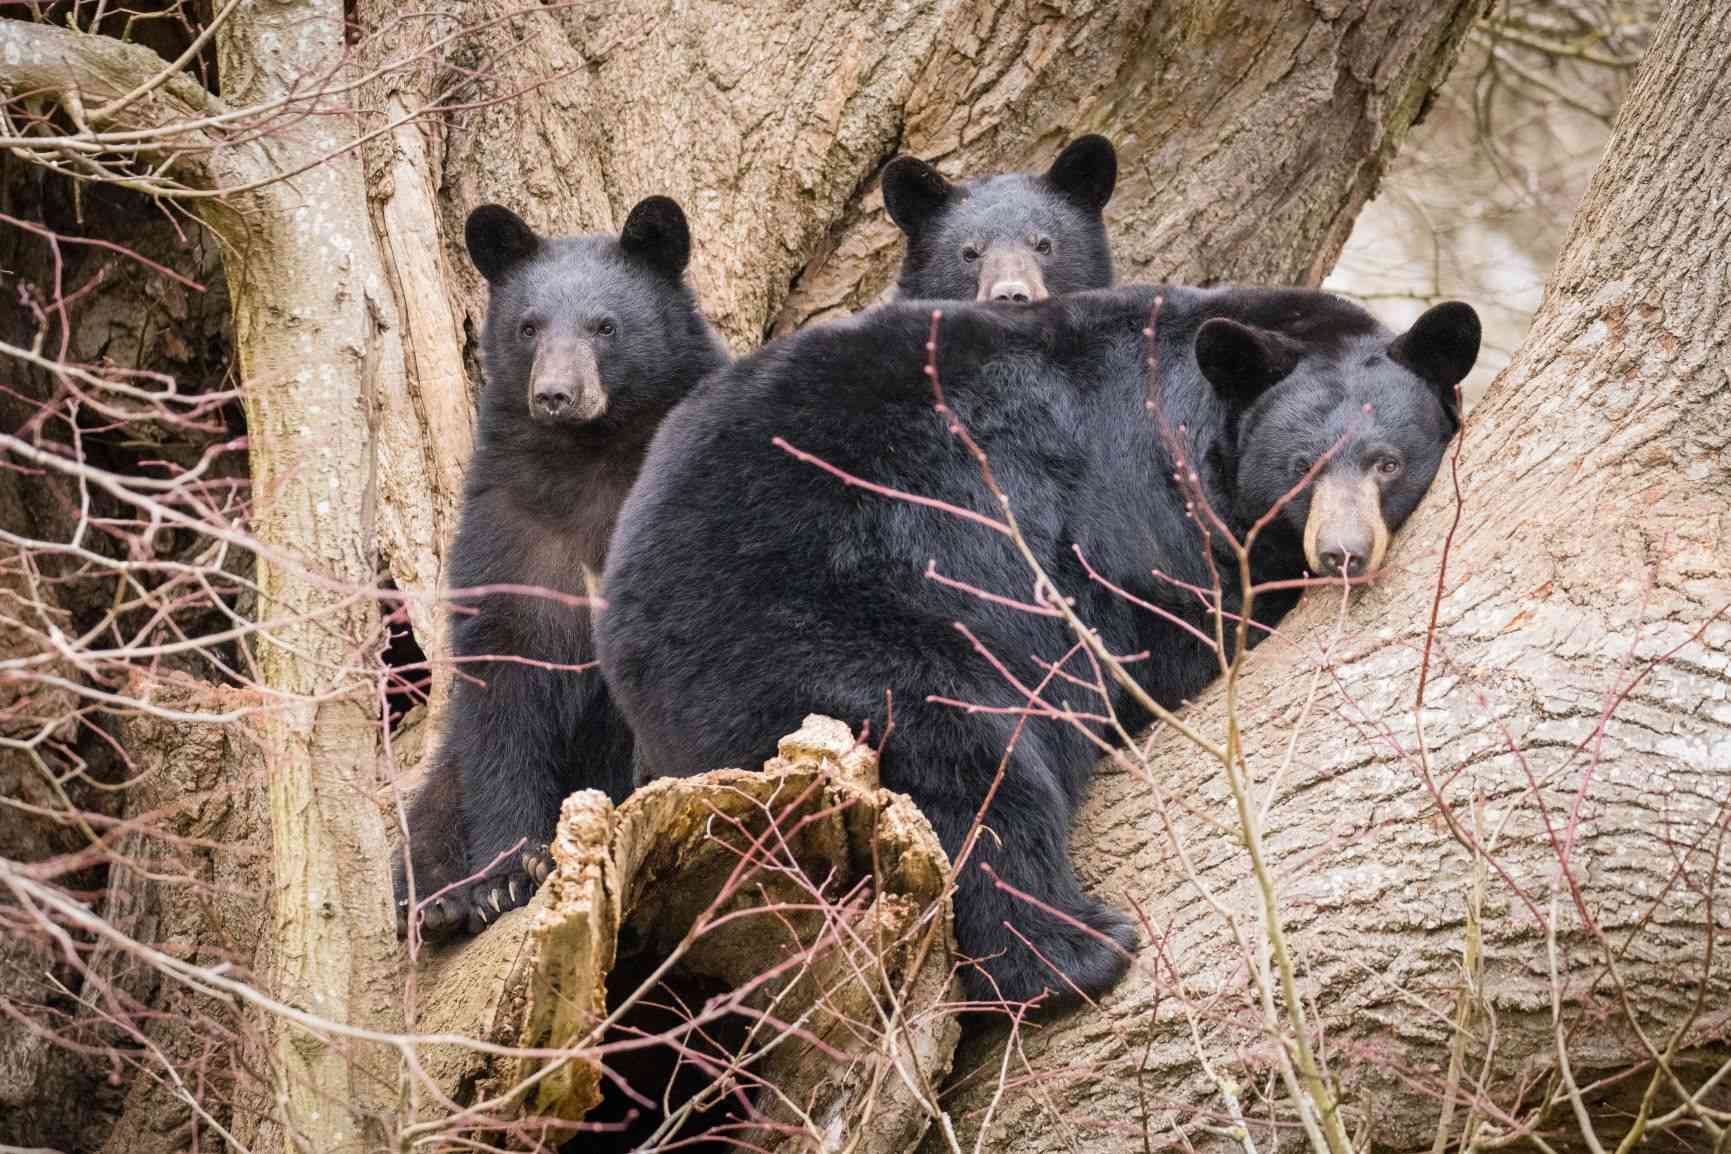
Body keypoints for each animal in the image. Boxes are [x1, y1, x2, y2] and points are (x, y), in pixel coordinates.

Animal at [396, 196, 727, 941]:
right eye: (528, 326)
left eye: (605, 326)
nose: (555, 393)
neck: (589, 459)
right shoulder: (507, 527)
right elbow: (503, 690)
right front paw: (501, 876)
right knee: (434, 801)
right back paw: (436, 898)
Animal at [592, 283, 1474, 1003]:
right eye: (1299, 466)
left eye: (1386, 461)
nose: (1342, 552)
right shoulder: (1133, 516)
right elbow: (1175, 628)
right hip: (830, 631)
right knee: (964, 767)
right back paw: (1071, 951)